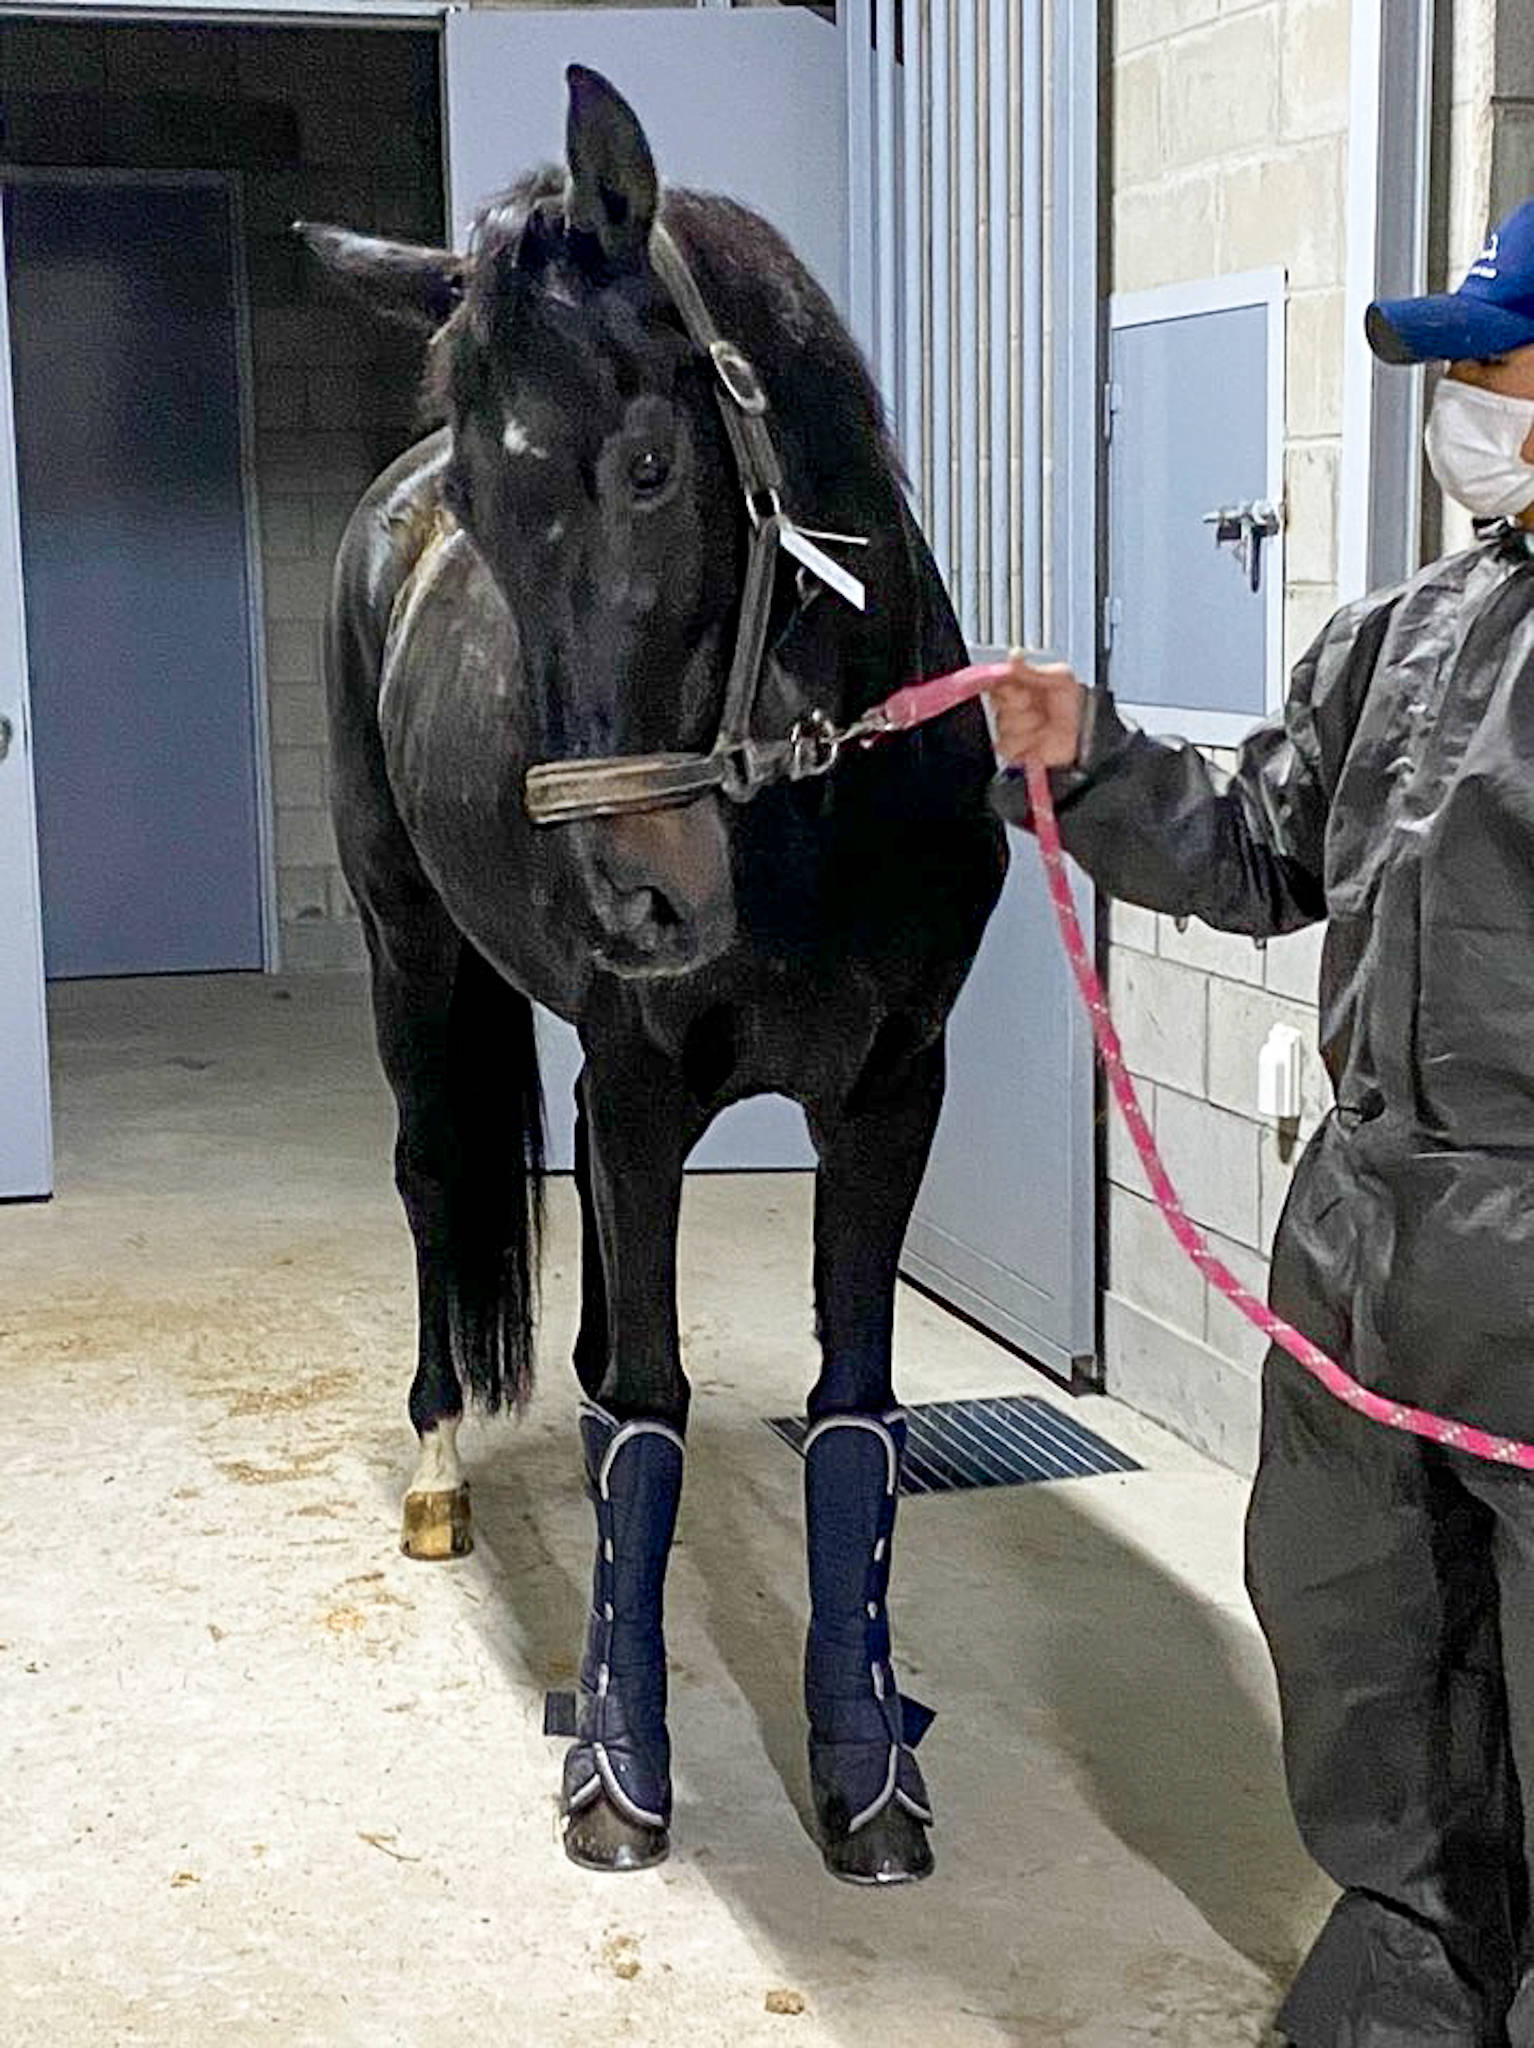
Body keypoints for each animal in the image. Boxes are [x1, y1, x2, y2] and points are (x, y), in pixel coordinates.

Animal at [303, 63, 1006, 1885]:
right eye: (483, 519)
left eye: (641, 465)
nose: (629, 891)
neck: (806, 803)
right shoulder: (638, 1080)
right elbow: (654, 1405)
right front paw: (619, 1765)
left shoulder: (891, 1093)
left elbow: (851, 1409)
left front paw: (867, 1774)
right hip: (412, 955)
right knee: (434, 1180)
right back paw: (438, 1468)